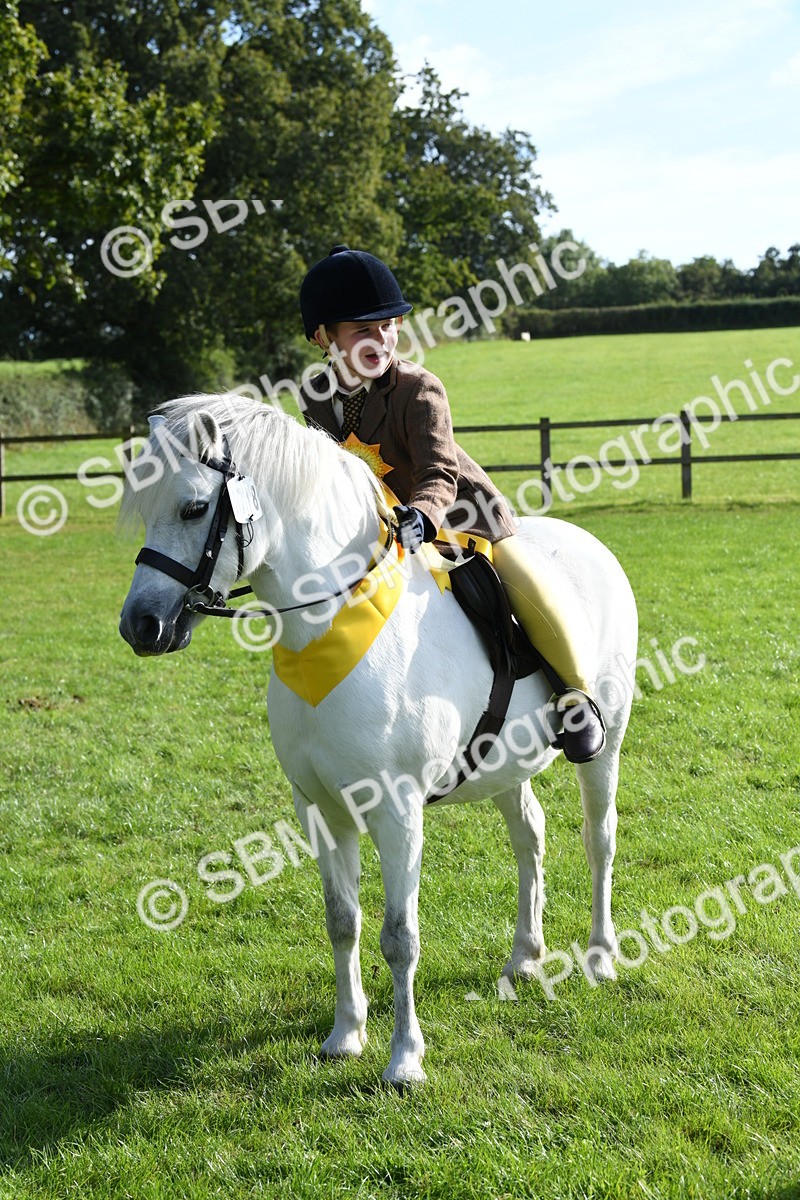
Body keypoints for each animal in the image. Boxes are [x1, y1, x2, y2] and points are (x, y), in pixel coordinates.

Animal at [118, 394, 638, 1087]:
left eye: (194, 508)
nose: (141, 625)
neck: (331, 631)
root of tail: (589, 544)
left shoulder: (398, 812)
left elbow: (400, 936)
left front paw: (405, 1059)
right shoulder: (319, 808)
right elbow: (343, 922)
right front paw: (346, 1034)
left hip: (605, 744)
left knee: (598, 837)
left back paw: (601, 956)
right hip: (503, 762)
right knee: (530, 834)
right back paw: (525, 957)